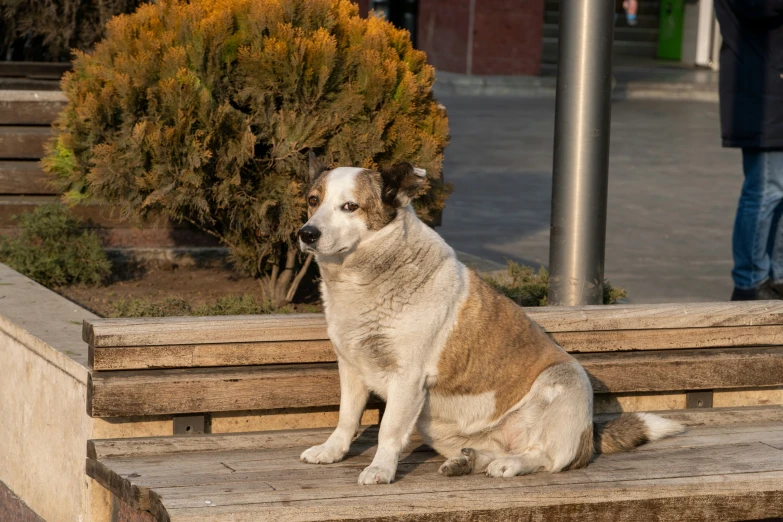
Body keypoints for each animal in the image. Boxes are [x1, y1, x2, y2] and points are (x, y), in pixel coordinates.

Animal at [298, 153, 684, 484]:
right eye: (313, 200)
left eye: (350, 206)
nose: (307, 234)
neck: (363, 278)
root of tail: (589, 435)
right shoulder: (351, 367)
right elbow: (347, 417)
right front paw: (331, 451)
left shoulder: (407, 378)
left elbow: (389, 430)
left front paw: (380, 469)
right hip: (443, 430)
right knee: (492, 450)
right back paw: (467, 461)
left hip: (566, 381)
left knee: (545, 457)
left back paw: (511, 464)